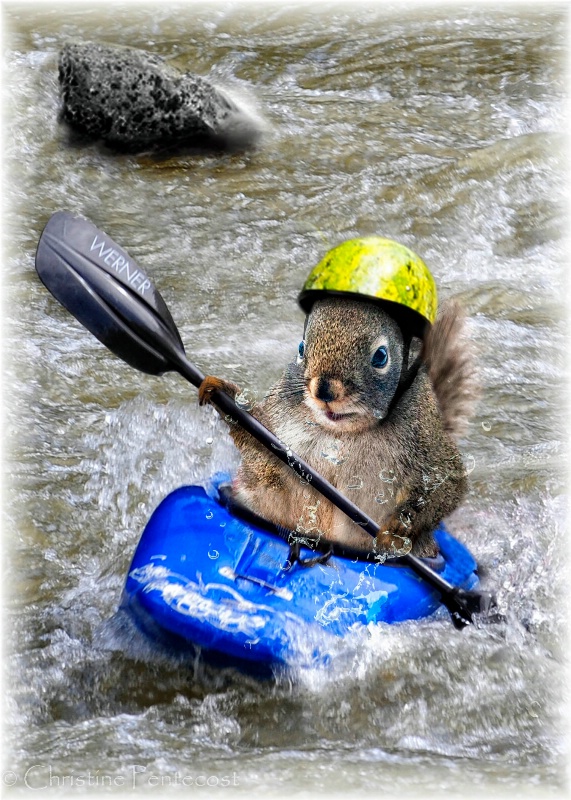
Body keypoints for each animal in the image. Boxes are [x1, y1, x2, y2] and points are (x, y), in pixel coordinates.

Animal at [198, 238, 478, 564]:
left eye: (381, 356)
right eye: (301, 347)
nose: (324, 390)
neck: (341, 433)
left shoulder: (425, 435)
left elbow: (448, 483)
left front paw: (397, 529)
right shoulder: (279, 426)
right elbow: (259, 447)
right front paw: (223, 393)